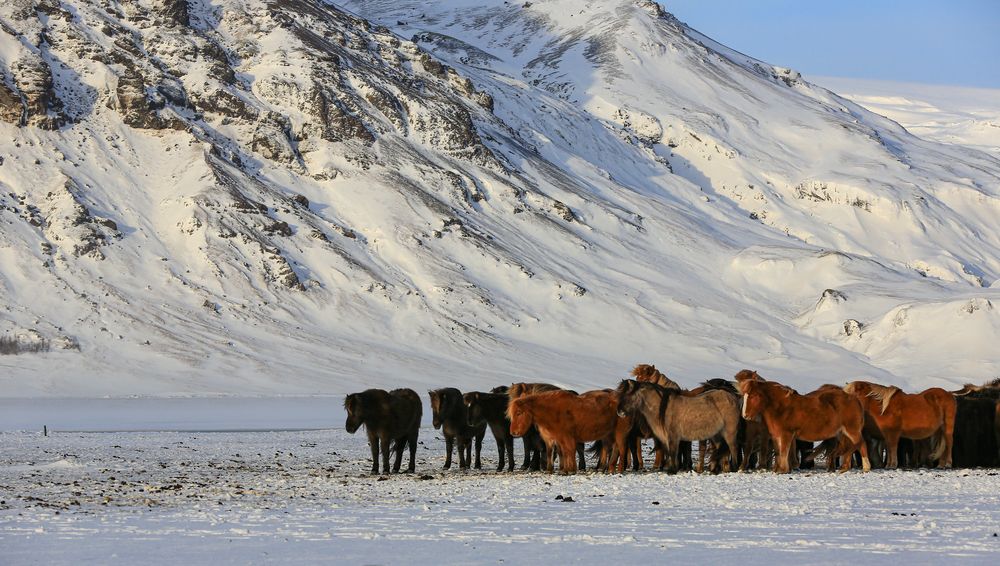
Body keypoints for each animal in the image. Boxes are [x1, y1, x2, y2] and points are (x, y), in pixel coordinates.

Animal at [736, 372, 868, 474]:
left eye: (753, 396)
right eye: (745, 396)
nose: (745, 416)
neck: (781, 408)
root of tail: (855, 399)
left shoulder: (786, 434)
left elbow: (784, 451)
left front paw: (782, 470)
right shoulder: (776, 436)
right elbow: (779, 452)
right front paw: (778, 469)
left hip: (852, 431)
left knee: (861, 444)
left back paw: (866, 467)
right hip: (842, 433)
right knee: (850, 448)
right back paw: (843, 468)